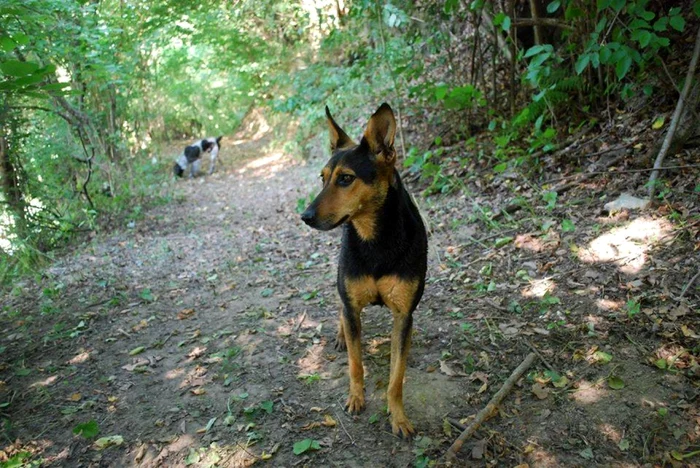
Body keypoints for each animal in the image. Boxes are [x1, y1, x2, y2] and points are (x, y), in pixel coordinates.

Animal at [300, 104, 426, 436]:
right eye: (322, 178)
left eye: (346, 179)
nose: (305, 216)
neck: (375, 239)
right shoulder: (353, 305)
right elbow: (356, 364)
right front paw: (356, 398)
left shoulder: (403, 314)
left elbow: (397, 377)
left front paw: (398, 416)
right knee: (341, 307)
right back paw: (342, 334)